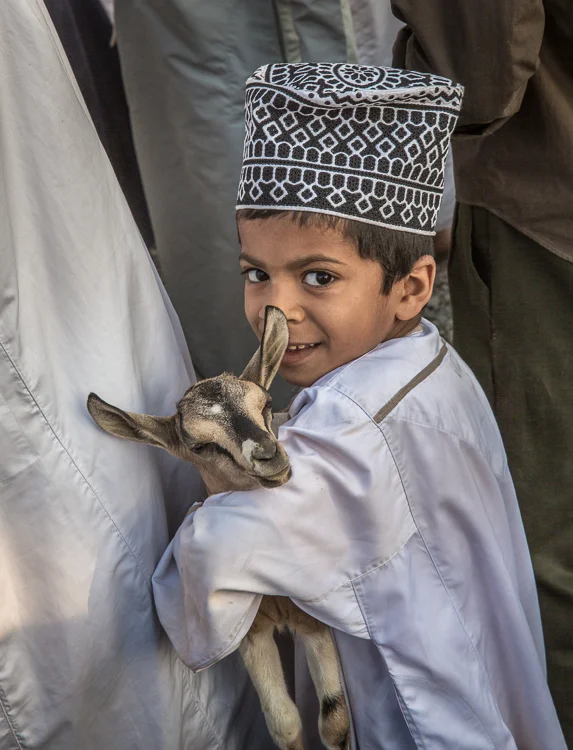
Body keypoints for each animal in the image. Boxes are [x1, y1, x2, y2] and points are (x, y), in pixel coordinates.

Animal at [87, 306, 350, 750]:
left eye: (266, 403)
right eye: (198, 445)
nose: (269, 456)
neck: (275, 599)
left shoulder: (315, 620)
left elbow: (334, 718)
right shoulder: (250, 632)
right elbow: (284, 721)